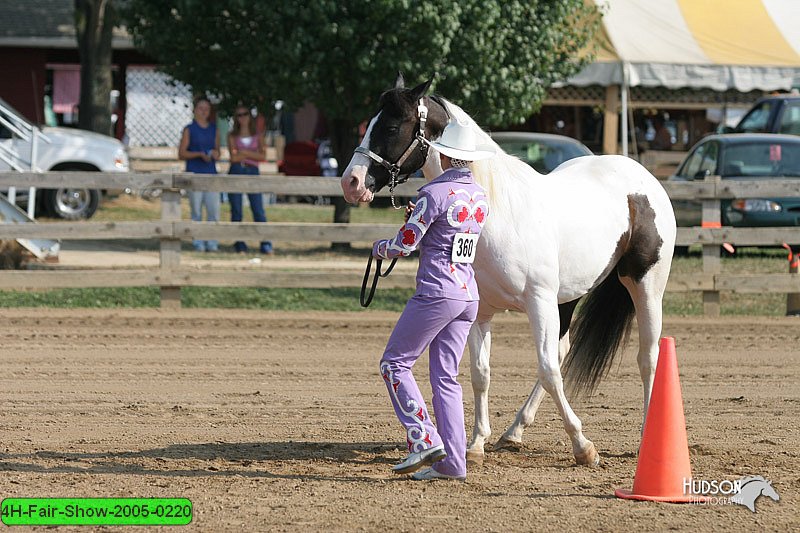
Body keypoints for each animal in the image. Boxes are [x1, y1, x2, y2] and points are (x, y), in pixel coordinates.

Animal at [340, 76, 680, 466]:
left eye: (393, 126)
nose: (351, 182)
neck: (497, 210)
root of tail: (642, 178)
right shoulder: (483, 311)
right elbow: (481, 374)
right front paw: (476, 445)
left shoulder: (538, 302)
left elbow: (548, 371)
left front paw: (583, 447)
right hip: (567, 297)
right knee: (561, 352)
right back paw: (514, 432)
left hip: (644, 286)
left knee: (647, 356)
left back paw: (646, 437)